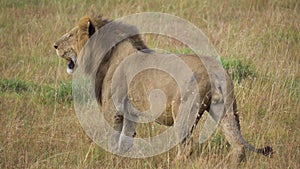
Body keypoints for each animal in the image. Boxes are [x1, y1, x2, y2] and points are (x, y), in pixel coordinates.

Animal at [53, 14, 272, 164]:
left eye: (70, 35)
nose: (54, 45)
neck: (105, 56)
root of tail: (216, 68)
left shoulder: (112, 109)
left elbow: (112, 139)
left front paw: (109, 160)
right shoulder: (130, 112)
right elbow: (126, 140)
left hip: (183, 110)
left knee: (187, 147)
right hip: (224, 109)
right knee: (237, 144)